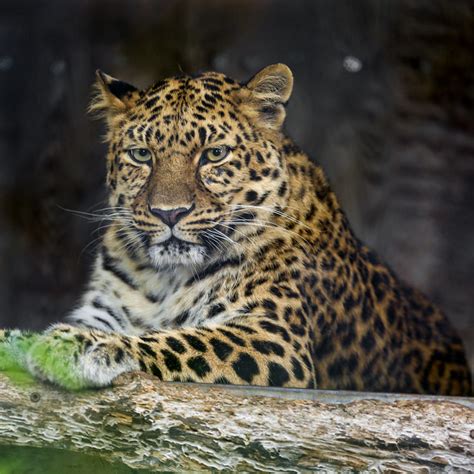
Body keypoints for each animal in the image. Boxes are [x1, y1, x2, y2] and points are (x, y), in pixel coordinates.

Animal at [0, 64, 470, 396]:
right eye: (141, 155)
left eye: (214, 154)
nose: (169, 213)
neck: (163, 279)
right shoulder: (104, 310)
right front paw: (18, 339)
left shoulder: (275, 338)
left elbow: (177, 340)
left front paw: (80, 346)